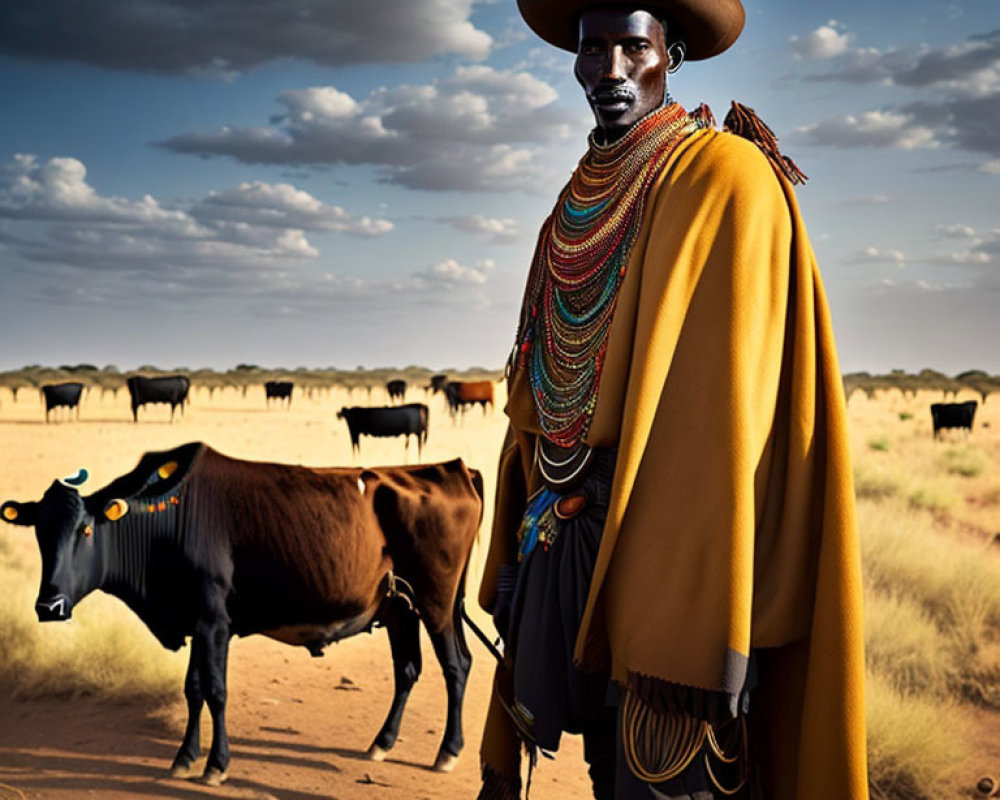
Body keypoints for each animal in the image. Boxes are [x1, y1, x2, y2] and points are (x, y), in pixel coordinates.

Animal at [0, 444, 484, 788]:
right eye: (40, 532)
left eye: (85, 530)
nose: (50, 606)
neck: (166, 517)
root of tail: (454, 469)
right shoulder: (197, 624)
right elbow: (193, 689)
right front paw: (184, 758)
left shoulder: (214, 624)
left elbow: (216, 691)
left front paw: (216, 765)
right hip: (400, 608)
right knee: (408, 669)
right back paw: (381, 744)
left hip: (437, 604)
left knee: (456, 666)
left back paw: (447, 752)